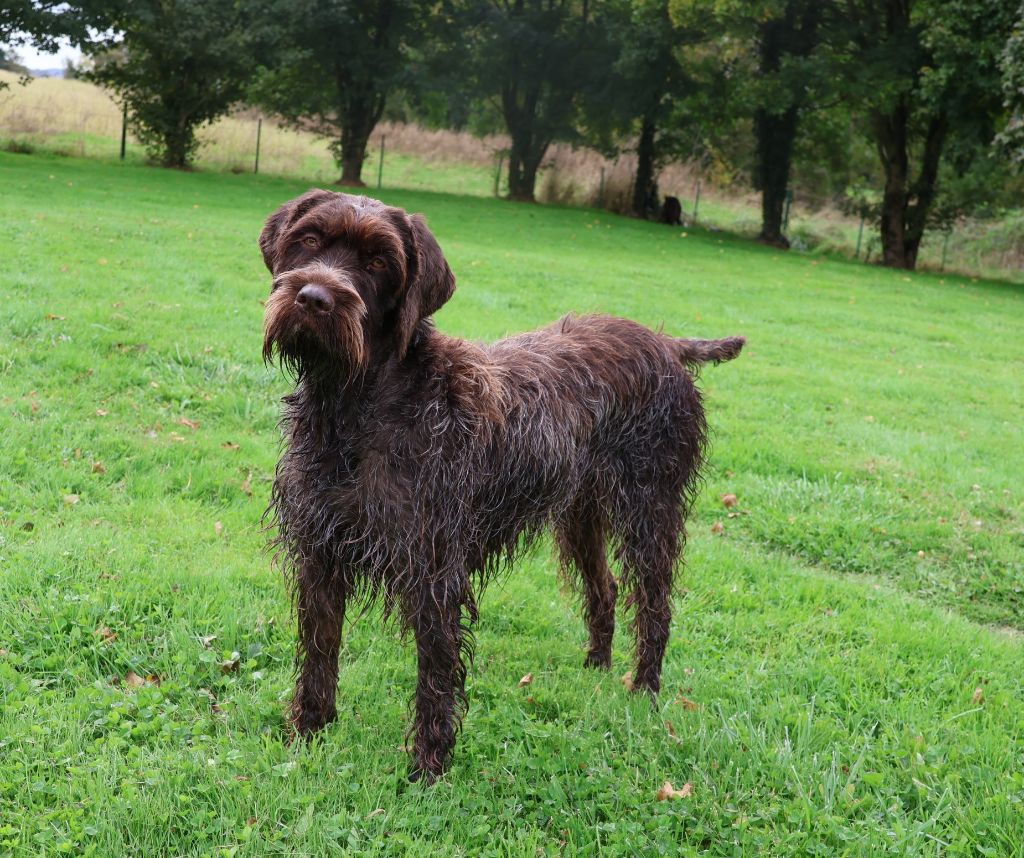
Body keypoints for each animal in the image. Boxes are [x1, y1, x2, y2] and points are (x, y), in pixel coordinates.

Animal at [260, 191, 741, 782]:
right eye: (308, 239)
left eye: (377, 262)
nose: (314, 297)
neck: (357, 407)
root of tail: (666, 341)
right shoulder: (319, 552)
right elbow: (319, 653)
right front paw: (309, 734)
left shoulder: (434, 571)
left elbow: (435, 674)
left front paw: (428, 768)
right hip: (580, 513)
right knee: (604, 588)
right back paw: (595, 668)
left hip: (649, 511)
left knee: (654, 605)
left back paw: (643, 691)